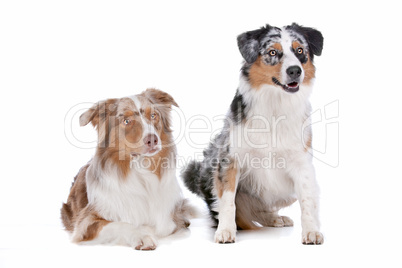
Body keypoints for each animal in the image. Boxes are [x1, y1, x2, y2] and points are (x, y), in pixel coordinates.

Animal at [61, 89, 195, 250]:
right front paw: (142, 235)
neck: (140, 168)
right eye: (126, 121)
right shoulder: (86, 223)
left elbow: (163, 225)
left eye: (153, 116)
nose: (152, 139)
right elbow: (120, 224)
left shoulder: (171, 218)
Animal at [184, 23, 326, 245]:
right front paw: (225, 231)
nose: (295, 70)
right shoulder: (228, 158)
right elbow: (227, 201)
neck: (275, 105)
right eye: (272, 52)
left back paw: (276, 218)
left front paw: (311, 231)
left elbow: (308, 200)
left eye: (300, 50)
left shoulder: (302, 163)